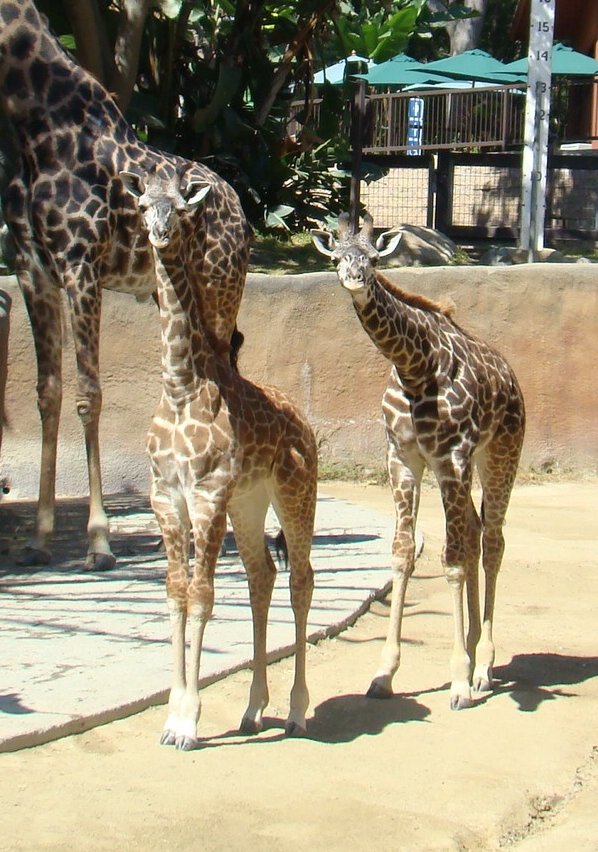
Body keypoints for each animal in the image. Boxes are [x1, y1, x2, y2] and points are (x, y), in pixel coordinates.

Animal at [0, 0, 250, 570]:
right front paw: (38, 538)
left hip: (220, 286)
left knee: (226, 374)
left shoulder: (79, 265)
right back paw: (172, 534)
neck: (32, 124)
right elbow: (48, 392)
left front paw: (99, 541)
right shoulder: (31, 268)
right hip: (173, 293)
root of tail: (239, 207)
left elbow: (89, 395)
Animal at [121, 167, 317, 750]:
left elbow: (203, 595)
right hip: (248, 502)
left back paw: (297, 712)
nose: (161, 233)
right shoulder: (167, 496)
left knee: (301, 579)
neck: (180, 385)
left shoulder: (206, 494)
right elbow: (175, 593)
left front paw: (188, 722)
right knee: (261, 576)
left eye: (183, 208)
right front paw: (171, 717)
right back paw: (254, 709)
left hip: (295, 492)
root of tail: (307, 425)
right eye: (144, 206)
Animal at [312, 213, 525, 710]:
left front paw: (460, 681)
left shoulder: (452, 457)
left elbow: (451, 559)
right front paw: (384, 674)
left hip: (500, 454)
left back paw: (483, 667)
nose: (355, 279)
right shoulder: (403, 458)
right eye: (337, 257)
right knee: (475, 534)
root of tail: (512, 378)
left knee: (492, 541)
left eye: (373, 259)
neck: (415, 366)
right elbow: (403, 555)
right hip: (469, 467)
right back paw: (474, 651)